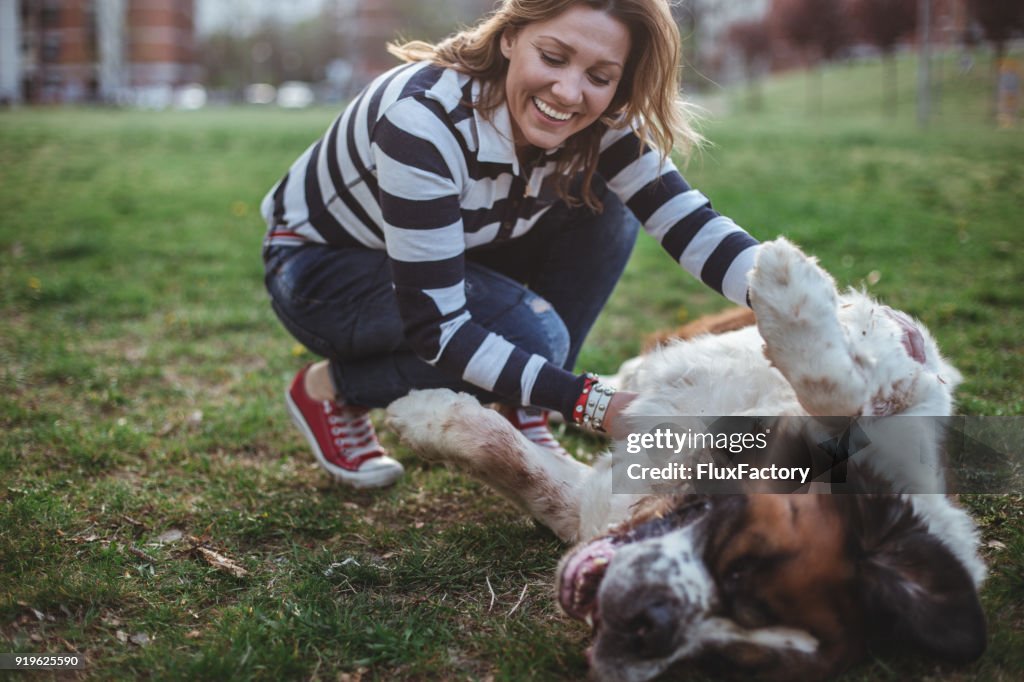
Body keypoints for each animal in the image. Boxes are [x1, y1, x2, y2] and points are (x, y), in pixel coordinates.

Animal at [385, 236, 983, 675]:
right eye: (742, 562)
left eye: (721, 666)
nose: (648, 625)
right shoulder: (896, 381)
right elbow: (837, 390)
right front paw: (788, 279)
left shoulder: (589, 505)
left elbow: (517, 464)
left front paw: (423, 416)